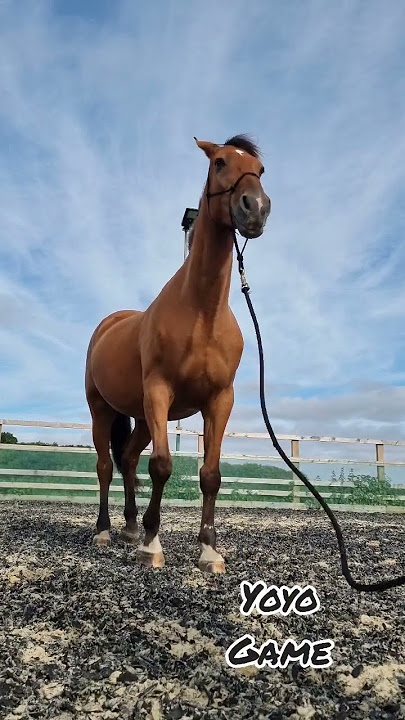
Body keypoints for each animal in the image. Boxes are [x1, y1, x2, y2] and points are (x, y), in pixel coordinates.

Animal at [84, 135, 270, 572]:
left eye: (260, 169)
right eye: (220, 162)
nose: (256, 208)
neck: (201, 312)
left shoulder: (219, 400)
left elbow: (211, 474)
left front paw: (208, 551)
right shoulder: (159, 391)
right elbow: (163, 465)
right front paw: (153, 544)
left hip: (141, 417)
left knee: (127, 460)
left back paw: (130, 528)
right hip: (102, 408)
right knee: (105, 466)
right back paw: (105, 531)